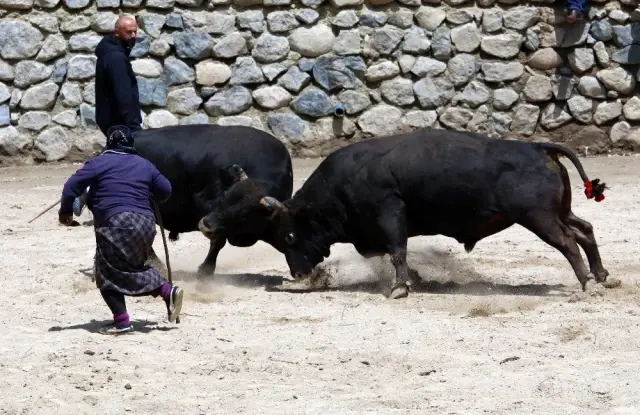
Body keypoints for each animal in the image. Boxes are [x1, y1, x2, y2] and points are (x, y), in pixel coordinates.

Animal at [135, 125, 296, 278]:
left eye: (244, 215)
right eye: (224, 197)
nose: (205, 225)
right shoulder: (206, 205)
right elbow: (218, 240)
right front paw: (206, 269)